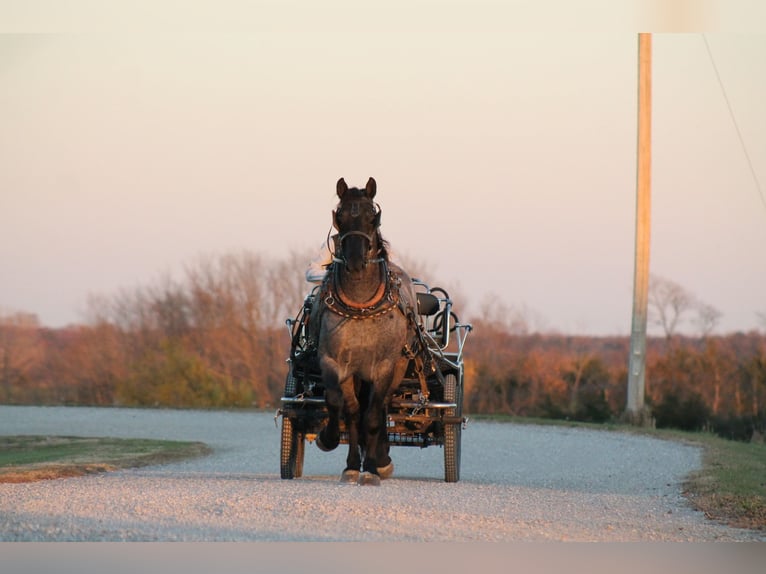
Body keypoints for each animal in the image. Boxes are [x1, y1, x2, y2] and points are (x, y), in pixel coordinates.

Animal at [314, 177, 420, 486]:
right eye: (340, 216)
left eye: (373, 216)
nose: (355, 261)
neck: (360, 306)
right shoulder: (332, 361)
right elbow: (341, 406)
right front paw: (334, 445)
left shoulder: (384, 366)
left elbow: (372, 416)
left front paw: (373, 468)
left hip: (398, 367)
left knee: (380, 407)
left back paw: (380, 459)